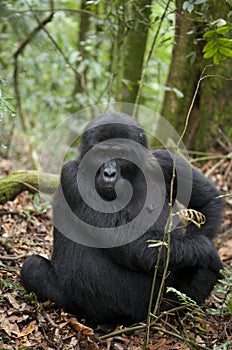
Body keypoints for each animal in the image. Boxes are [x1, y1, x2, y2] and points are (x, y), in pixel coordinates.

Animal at [21, 113, 223, 326]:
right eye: (100, 153)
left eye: (120, 153)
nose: (109, 173)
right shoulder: (73, 176)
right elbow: (126, 241)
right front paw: (203, 248)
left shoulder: (166, 160)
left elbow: (208, 201)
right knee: (33, 267)